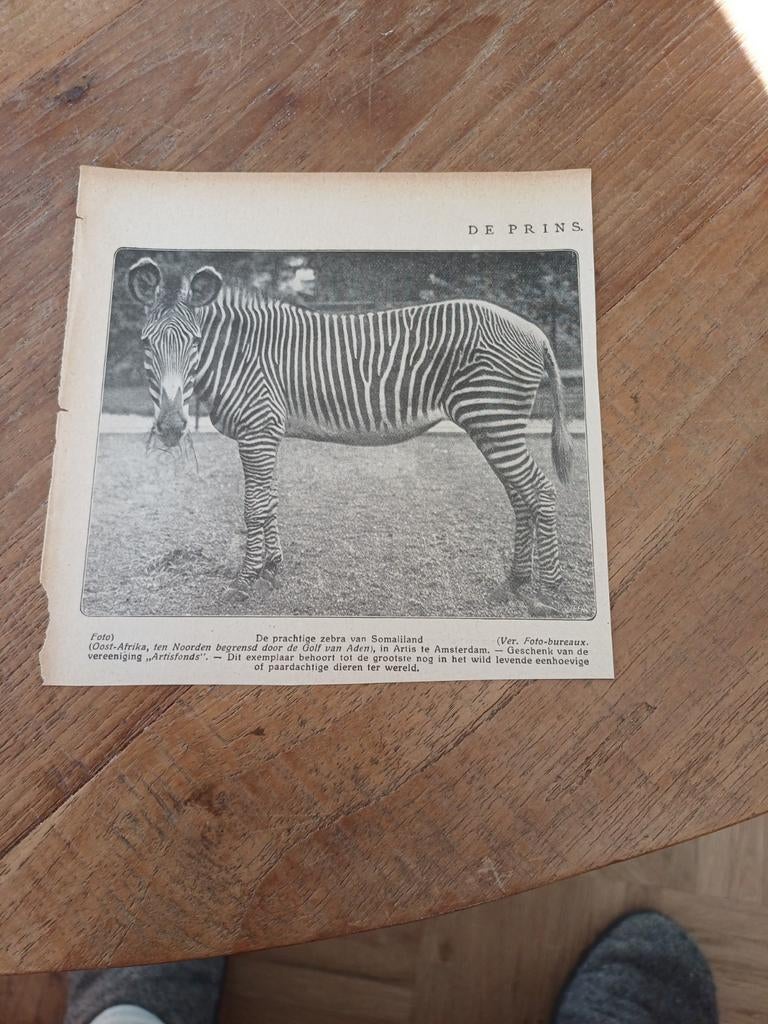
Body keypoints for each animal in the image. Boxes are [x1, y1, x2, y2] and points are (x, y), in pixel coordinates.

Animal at [127, 257, 574, 602]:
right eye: (145, 343)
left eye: (195, 342)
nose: (172, 426)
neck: (240, 356)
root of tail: (536, 331)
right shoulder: (267, 433)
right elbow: (270, 501)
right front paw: (272, 568)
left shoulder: (257, 432)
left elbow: (254, 506)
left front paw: (245, 580)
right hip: (495, 425)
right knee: (521, 497)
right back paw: (517, 581)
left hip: (493, 419)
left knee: (541, 493)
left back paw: (550, 589)